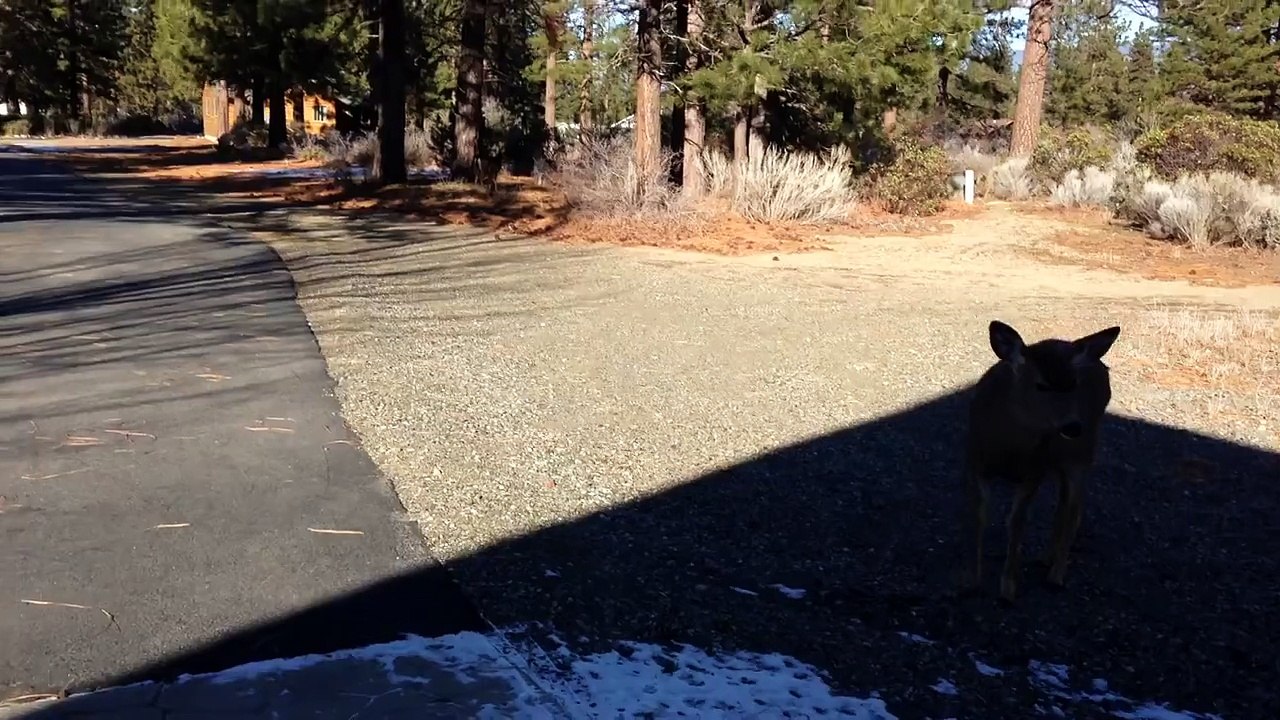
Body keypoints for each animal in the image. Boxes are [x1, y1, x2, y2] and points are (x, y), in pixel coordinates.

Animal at [962, 320, 1121, 604]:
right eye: (1041, 385)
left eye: (1074, 384)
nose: (1073, 426)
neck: (1009, 450)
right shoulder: (975, 462)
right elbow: (978, 517)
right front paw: (971, 583)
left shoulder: (1033, 472)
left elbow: (1017, 522)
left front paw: (1008, 589)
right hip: (1059, 459)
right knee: (1064, 503)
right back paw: (1046, 558)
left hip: (1080, 454)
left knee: (1074, 506)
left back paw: (1056, 575)